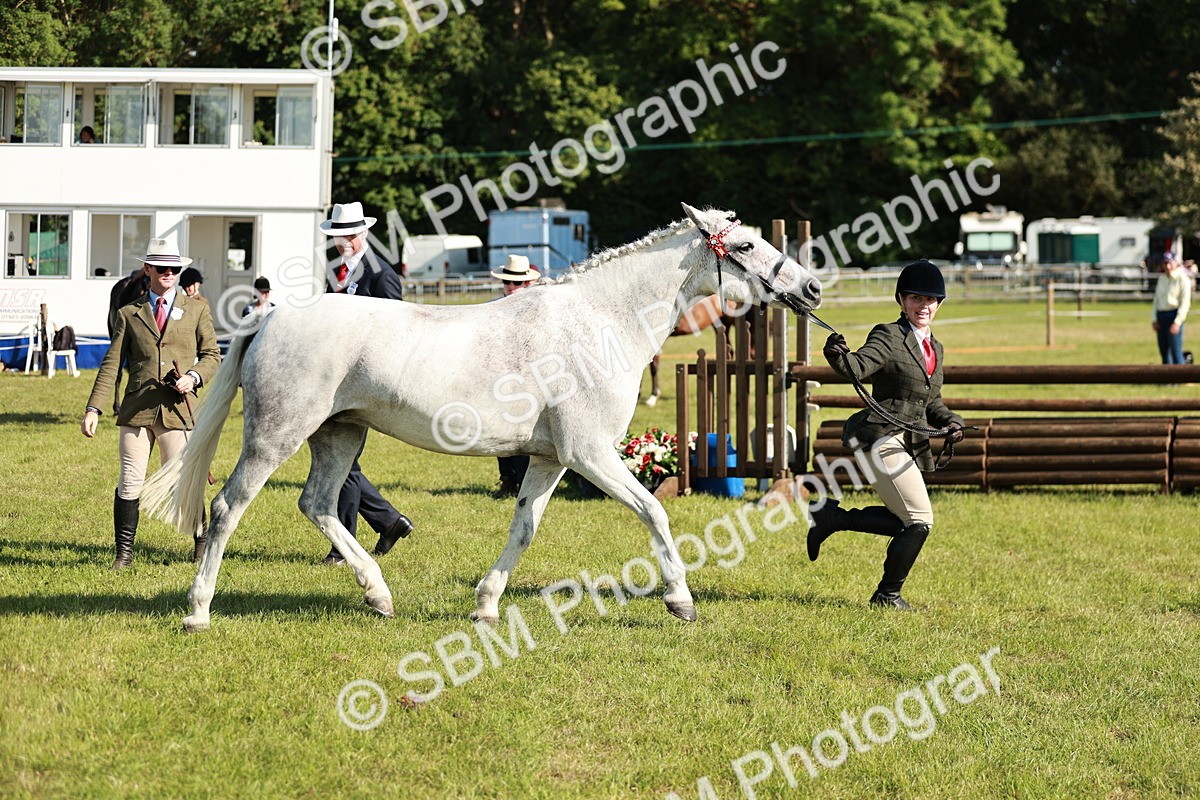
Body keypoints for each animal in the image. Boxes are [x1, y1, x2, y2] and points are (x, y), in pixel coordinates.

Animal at [140, 204, 822, 632]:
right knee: (228, 507)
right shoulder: (591, 453)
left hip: (341, 433)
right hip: (276, 435)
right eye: (744, 245)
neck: (601, 320)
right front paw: (681, 600)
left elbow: (524, 528)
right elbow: (655, 511)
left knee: (318, 504)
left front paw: (486, 606)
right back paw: (198, 611)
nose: (812, 289)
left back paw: (379, 594)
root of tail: (272, 316)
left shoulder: (549, 459)